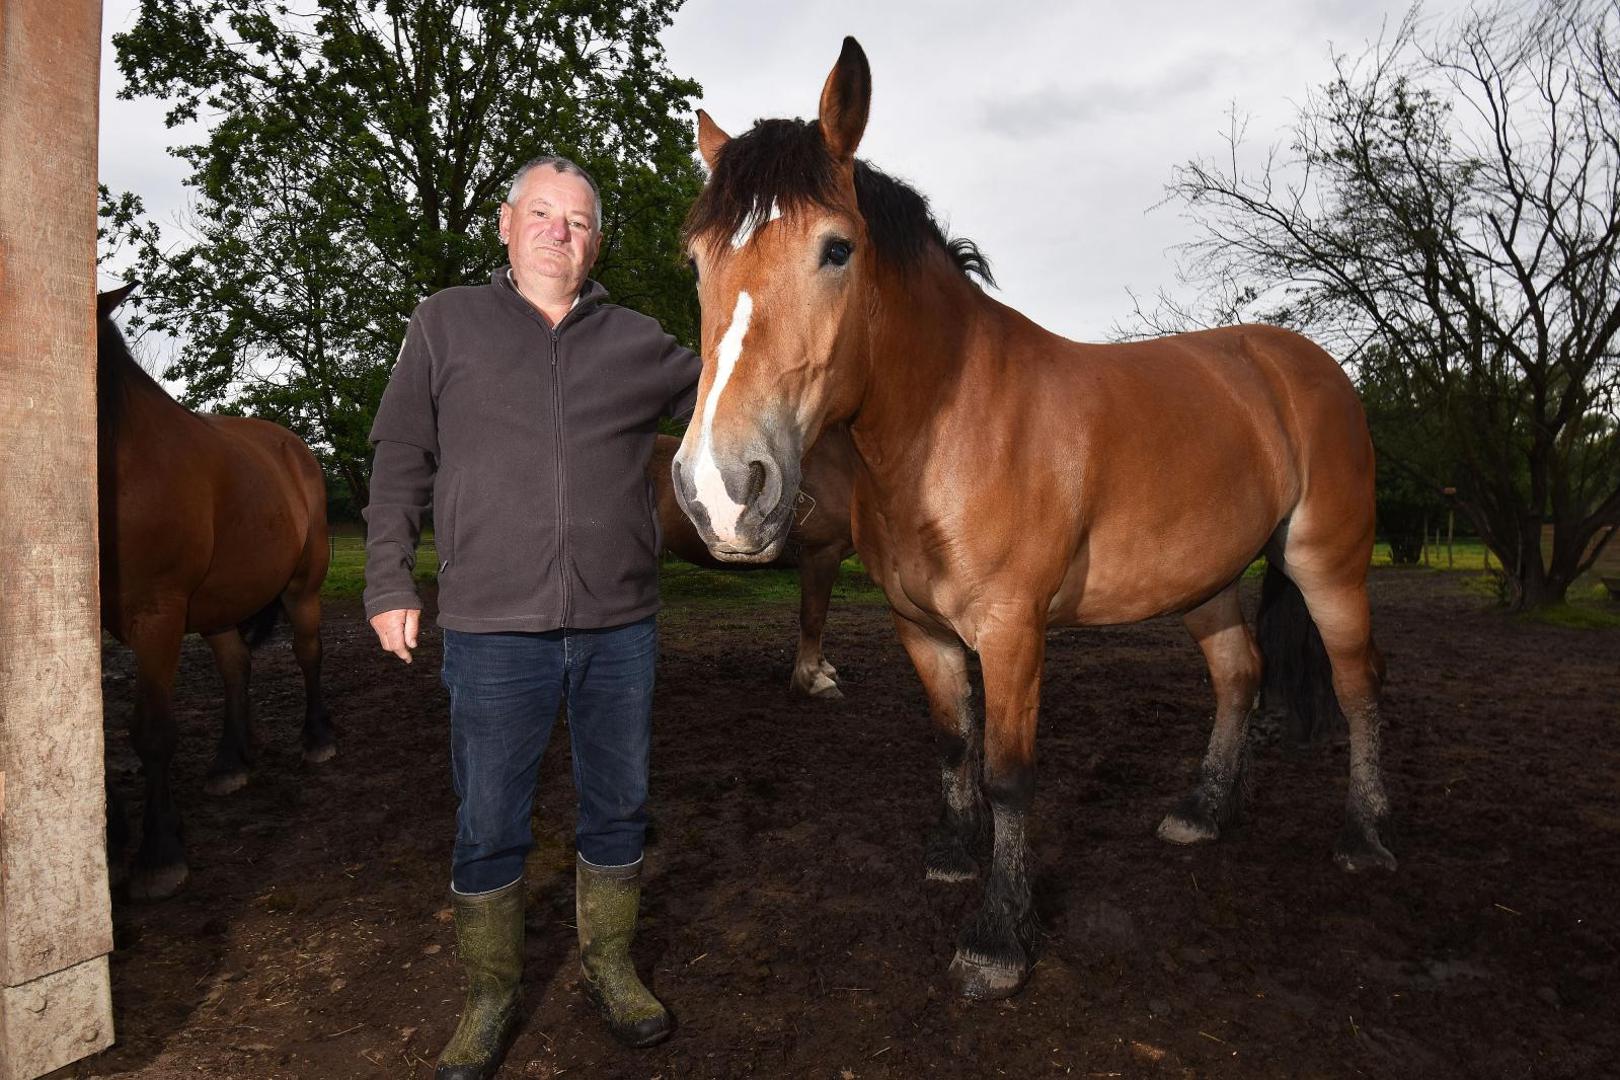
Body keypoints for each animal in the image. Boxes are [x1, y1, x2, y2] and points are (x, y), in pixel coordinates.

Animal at [95, 286, 335, 906]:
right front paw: (110, 839)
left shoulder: (156, 615)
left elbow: (152, 732)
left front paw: (159, 853)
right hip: (221, 603)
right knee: (235, 666)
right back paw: (231, 761)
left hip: (302, 588)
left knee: (308, 654)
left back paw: (316, 738)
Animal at [670, 38, 1393, 1003]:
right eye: (697, 261)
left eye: (836, 249)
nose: (722, 489)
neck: (949, 427)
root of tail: (1301, 364)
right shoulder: (921, 628)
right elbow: (953, 744)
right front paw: (952, 854)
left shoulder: (1014, 632)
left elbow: (1009, 775)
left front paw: (998, 939)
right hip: (1203, 581)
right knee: (1240, 674)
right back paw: (1203, 813)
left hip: (1329, 567)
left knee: (1358, 687)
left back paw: (1365, 835)